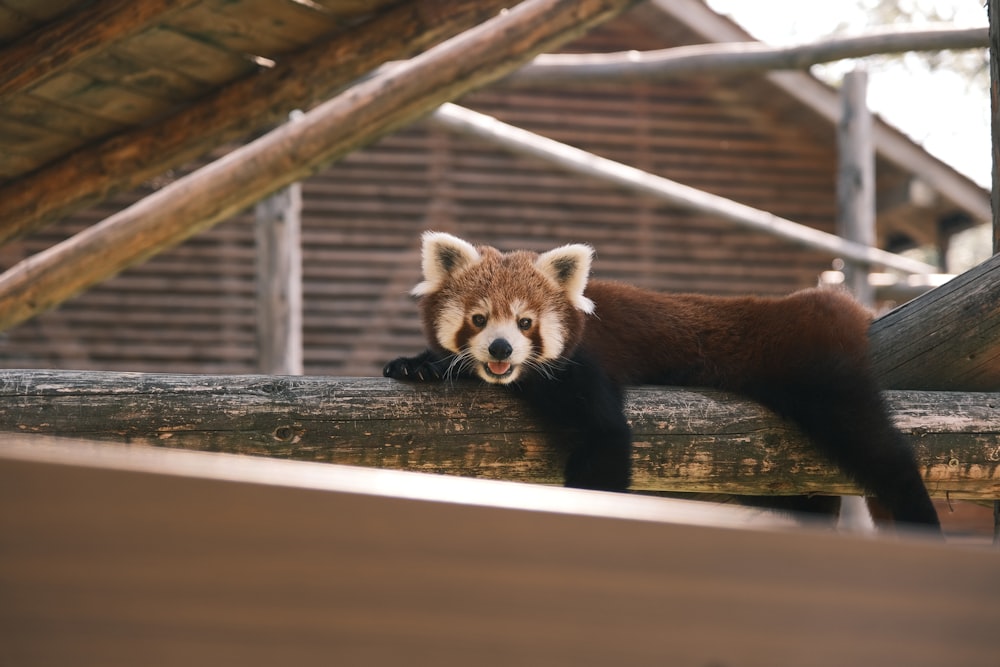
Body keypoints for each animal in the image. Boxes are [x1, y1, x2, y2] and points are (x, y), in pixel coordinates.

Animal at [382, 232, 936, 528]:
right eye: (479, 320)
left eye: (524, 323)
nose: (500, 349)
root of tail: (837, 303)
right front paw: (420, 364)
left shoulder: (585, 366)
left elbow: (605, 438)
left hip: (816, 369)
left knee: (879, 450)